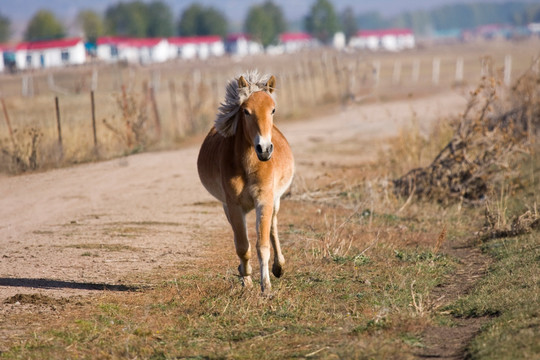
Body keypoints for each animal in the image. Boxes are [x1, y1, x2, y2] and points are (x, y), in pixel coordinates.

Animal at [197, 70, 294, 292]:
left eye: (273, 110)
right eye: (246, 111)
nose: (264, 149)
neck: (249, 165)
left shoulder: (264, 201)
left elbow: (262, 245)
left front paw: (266, 287)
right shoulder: (233, 205)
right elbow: (243, 246)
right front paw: (246, 275)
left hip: (275, 201)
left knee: (273, 227)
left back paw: (279, 267)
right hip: (227, 207)